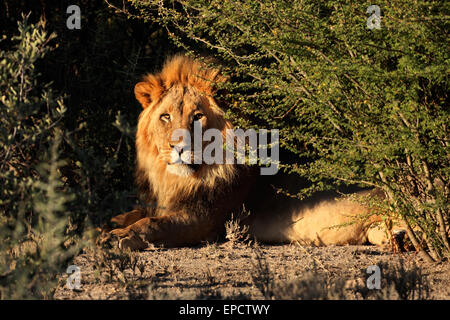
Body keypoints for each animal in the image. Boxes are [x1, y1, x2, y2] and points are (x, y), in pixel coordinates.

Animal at [103, 54, 400, 250]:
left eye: (198, 116)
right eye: (165, 117)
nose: (178, 147)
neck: (180, 179)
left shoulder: (203, 220)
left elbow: (152, 223)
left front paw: (119, 237)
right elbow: (136, 213)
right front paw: (107, 226)